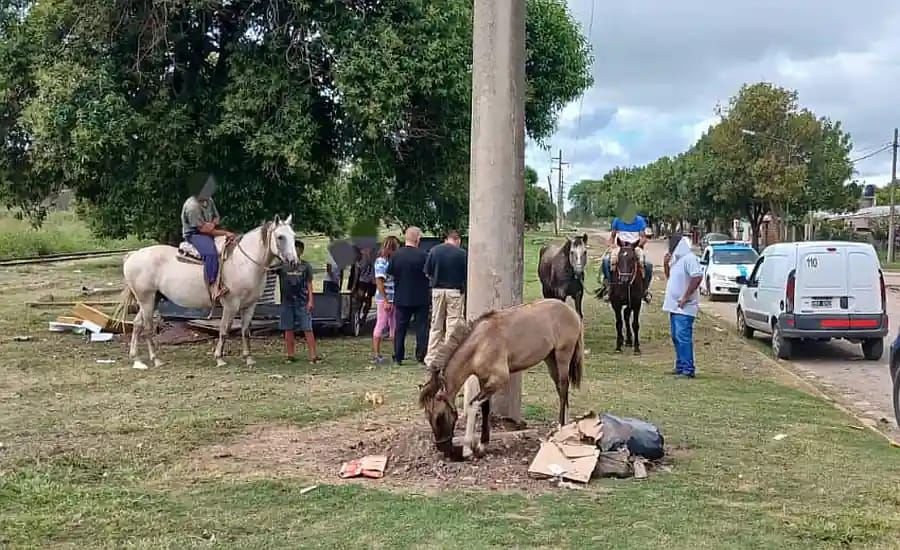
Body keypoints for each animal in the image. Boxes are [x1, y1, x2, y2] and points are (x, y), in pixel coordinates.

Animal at [116, 215, 299, 369]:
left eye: (293, 235)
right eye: (280, 237)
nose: (294, 262)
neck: (244, 262)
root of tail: (132, 255)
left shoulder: (250, 305)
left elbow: (246, 331)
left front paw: (248, 358)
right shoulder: (231, 304)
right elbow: (224, 330)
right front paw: (219, 358)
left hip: (153, 299)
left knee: (137, 325)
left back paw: (137, 359)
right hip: (146, 299)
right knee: (147, 328)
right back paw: (156, 359)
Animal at [418, 299, 584, 461]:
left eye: (439, 417)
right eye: (428, 417)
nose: (442, 448)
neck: (480, 344)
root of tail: (571, 312)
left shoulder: (500, 378)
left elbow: (472, 405)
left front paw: (468, 450)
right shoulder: (484, 380)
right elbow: (485, 409)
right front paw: (482, 445)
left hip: (563, 355)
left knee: (563, 387)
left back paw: (561, 427)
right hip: (550, 359)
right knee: (561, 389)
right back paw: (565, 427)